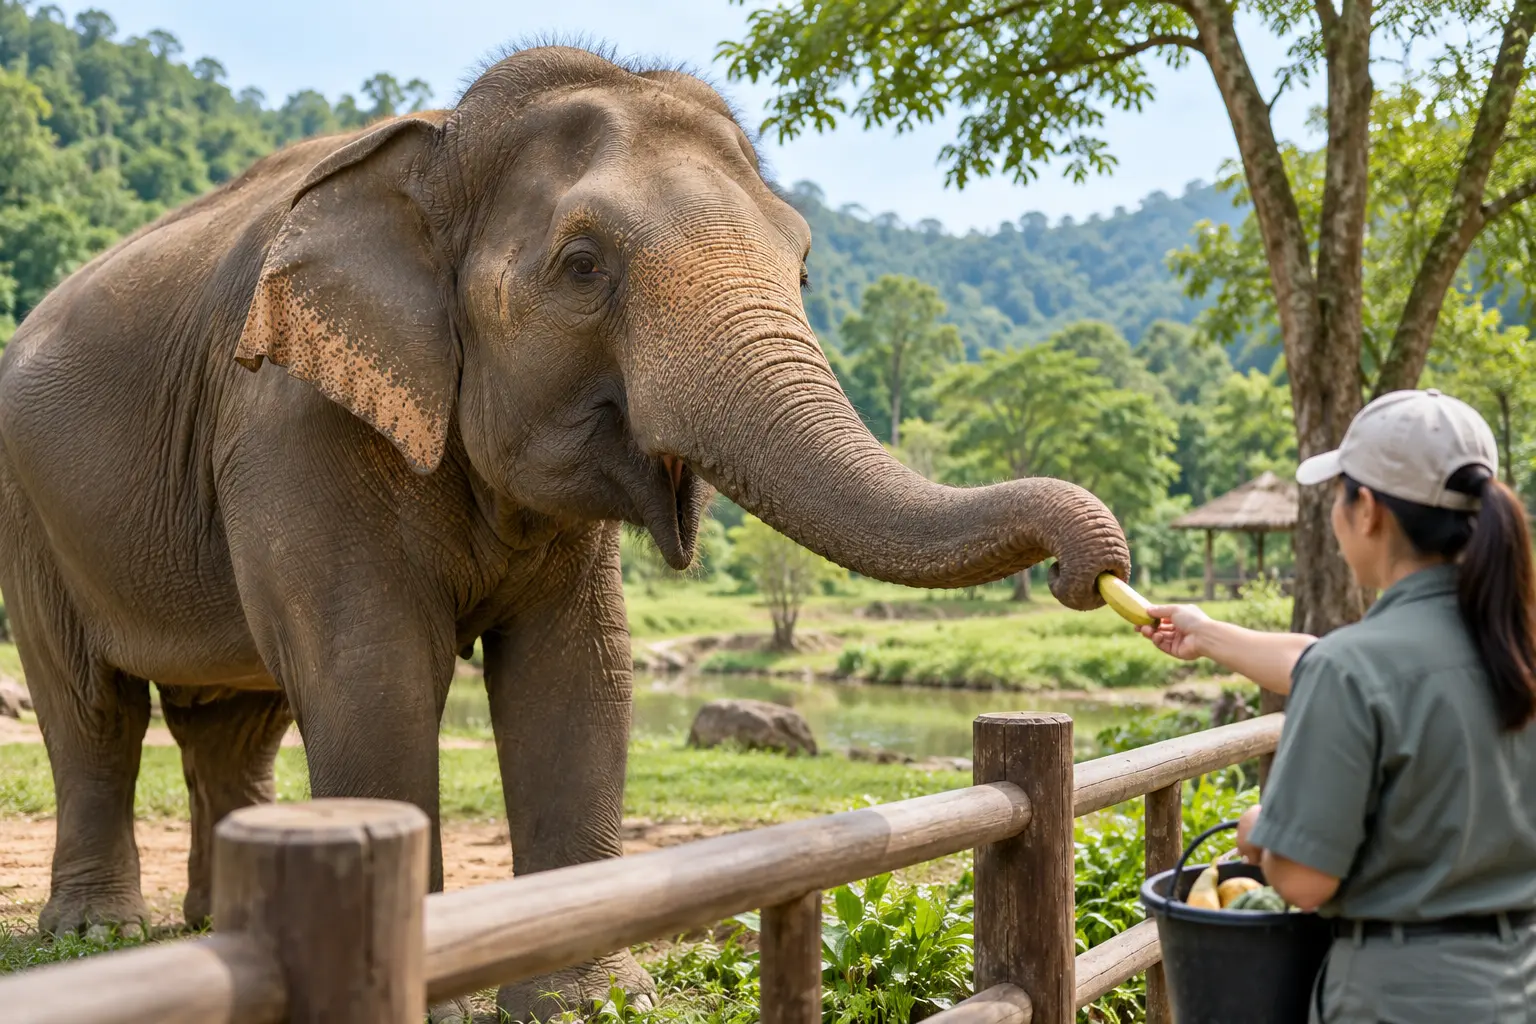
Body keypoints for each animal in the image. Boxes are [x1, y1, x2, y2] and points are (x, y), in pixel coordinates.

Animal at [0, 46, 1130, 1019]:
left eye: (804, 267)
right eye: (583, 267)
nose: (1093, 570)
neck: (440, 148)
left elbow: (578, 672)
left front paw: (587, 1002)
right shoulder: (291, 419)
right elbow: (373, 668)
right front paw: (440, 993)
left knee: (232, 725)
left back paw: (206, 928)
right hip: (28, 509)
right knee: (91, 707)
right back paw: (96, 935)